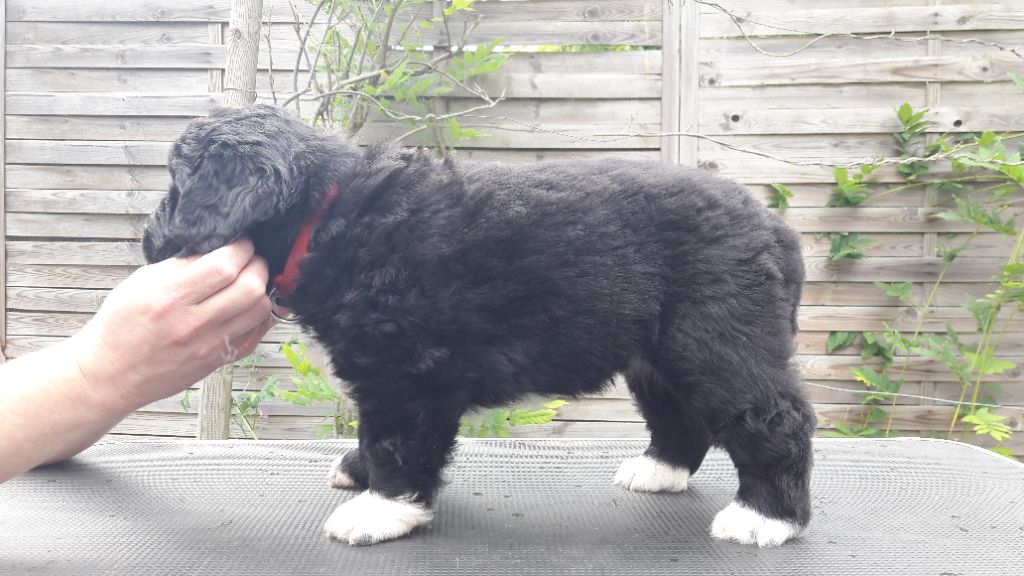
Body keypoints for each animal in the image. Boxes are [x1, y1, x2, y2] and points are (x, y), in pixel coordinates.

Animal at [143, 104, 816, 547]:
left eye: (176, 185)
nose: (146, 241)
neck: (330, 214)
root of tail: (773, 228)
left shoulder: (405, 374)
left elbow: (393, 440)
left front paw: (380, 507)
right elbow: (373, 433)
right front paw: (362, 474)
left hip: (717, 341)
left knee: (774, 416)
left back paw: (767, 517)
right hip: (657, 356)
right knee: (679, 416)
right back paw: (660, 470)